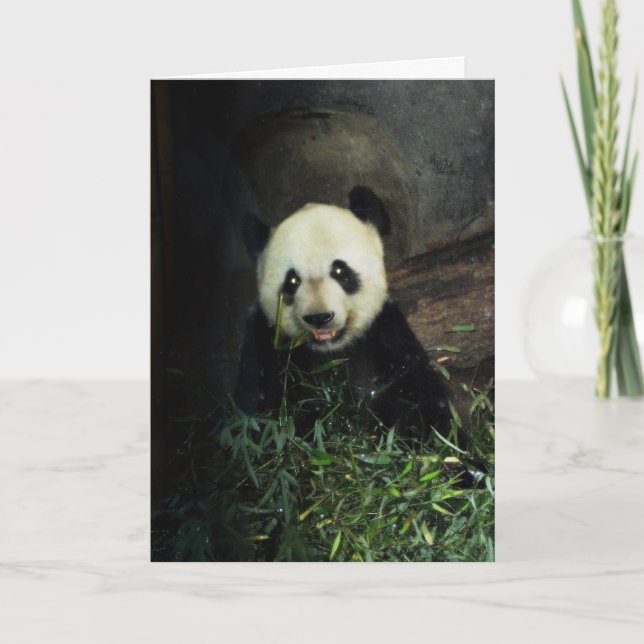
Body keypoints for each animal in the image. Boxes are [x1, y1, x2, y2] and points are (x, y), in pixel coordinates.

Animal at [235, 186, 452, 436]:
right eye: (292, 280)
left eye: (339, 270)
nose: (319, 317)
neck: (332, 351)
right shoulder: (267, 346)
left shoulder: (385, 335)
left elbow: (421, 402)